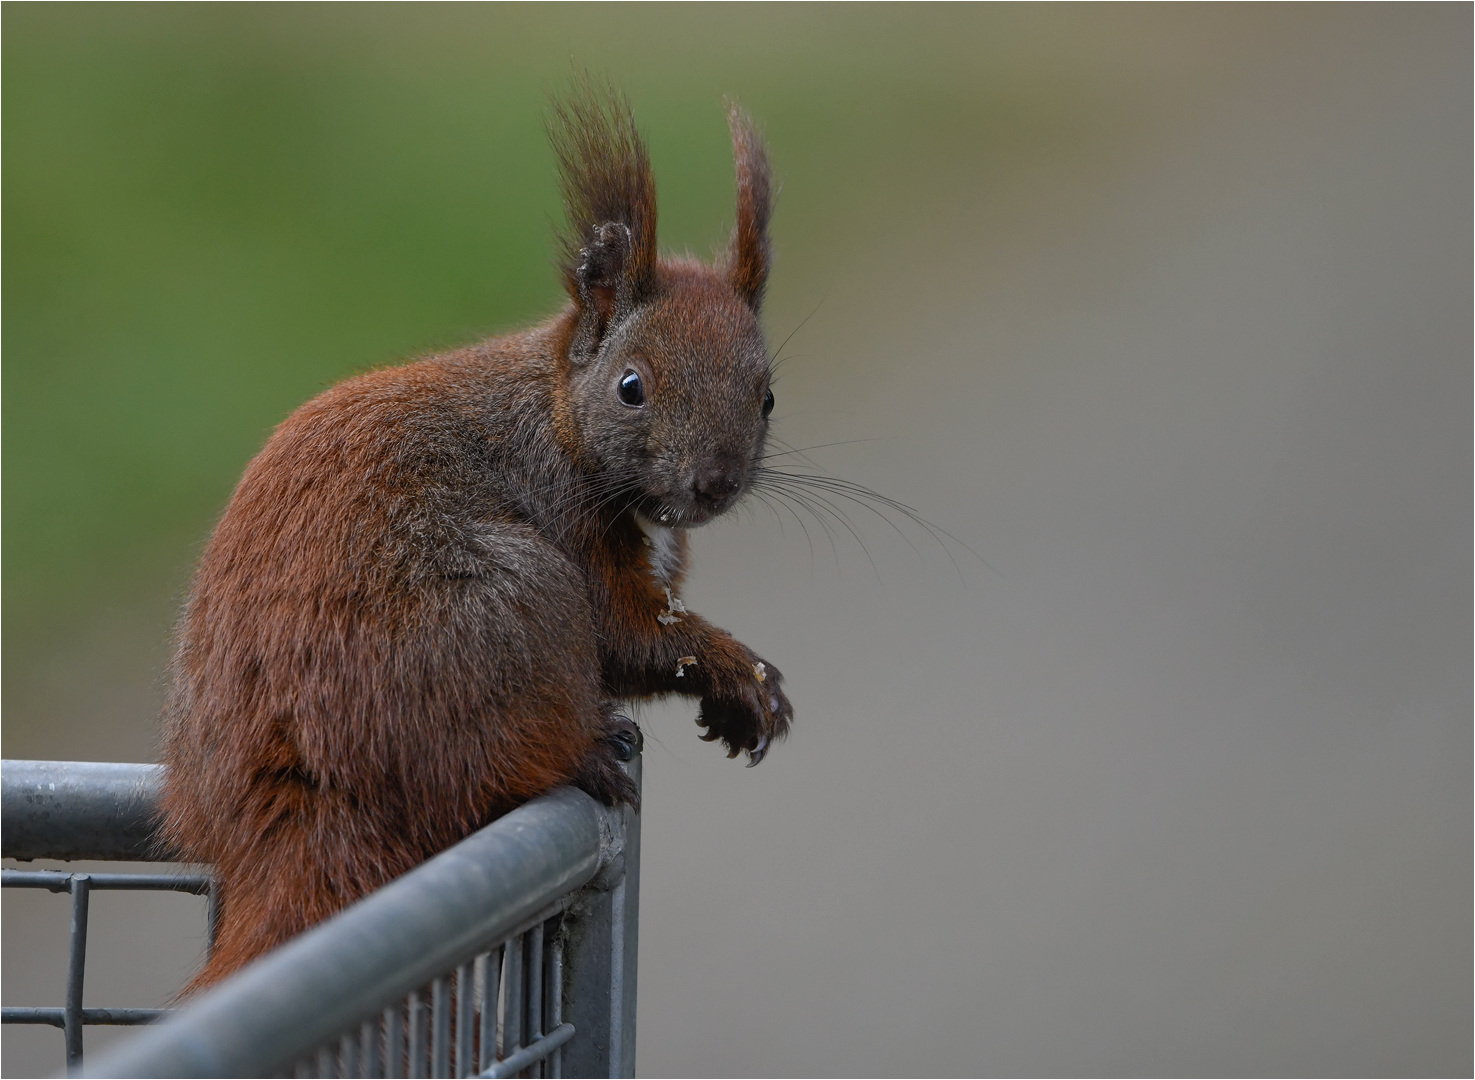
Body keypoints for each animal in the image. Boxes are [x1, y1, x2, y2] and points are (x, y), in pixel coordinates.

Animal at [161, 88, 796, 991]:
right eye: (631, 387)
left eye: (767, 396)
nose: (714, 481)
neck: (557, 413)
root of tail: (287, 808)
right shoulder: (566, 521)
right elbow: (630, 634)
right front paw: (740, 672)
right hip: (508, 604)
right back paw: (582, 755)